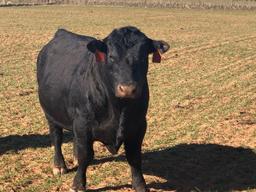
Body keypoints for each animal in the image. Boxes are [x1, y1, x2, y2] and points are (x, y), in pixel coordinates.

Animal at [37, 25, 170, 192]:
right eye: (111, 56)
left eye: (143, 56)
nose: (128, 89)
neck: (119, 108)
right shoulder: (83, 123)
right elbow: (85, 155)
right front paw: (78, 184)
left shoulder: (138, 125)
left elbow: (134, 156)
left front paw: (140, 185)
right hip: (51, 115)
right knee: (56, 138)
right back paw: (59, 166)